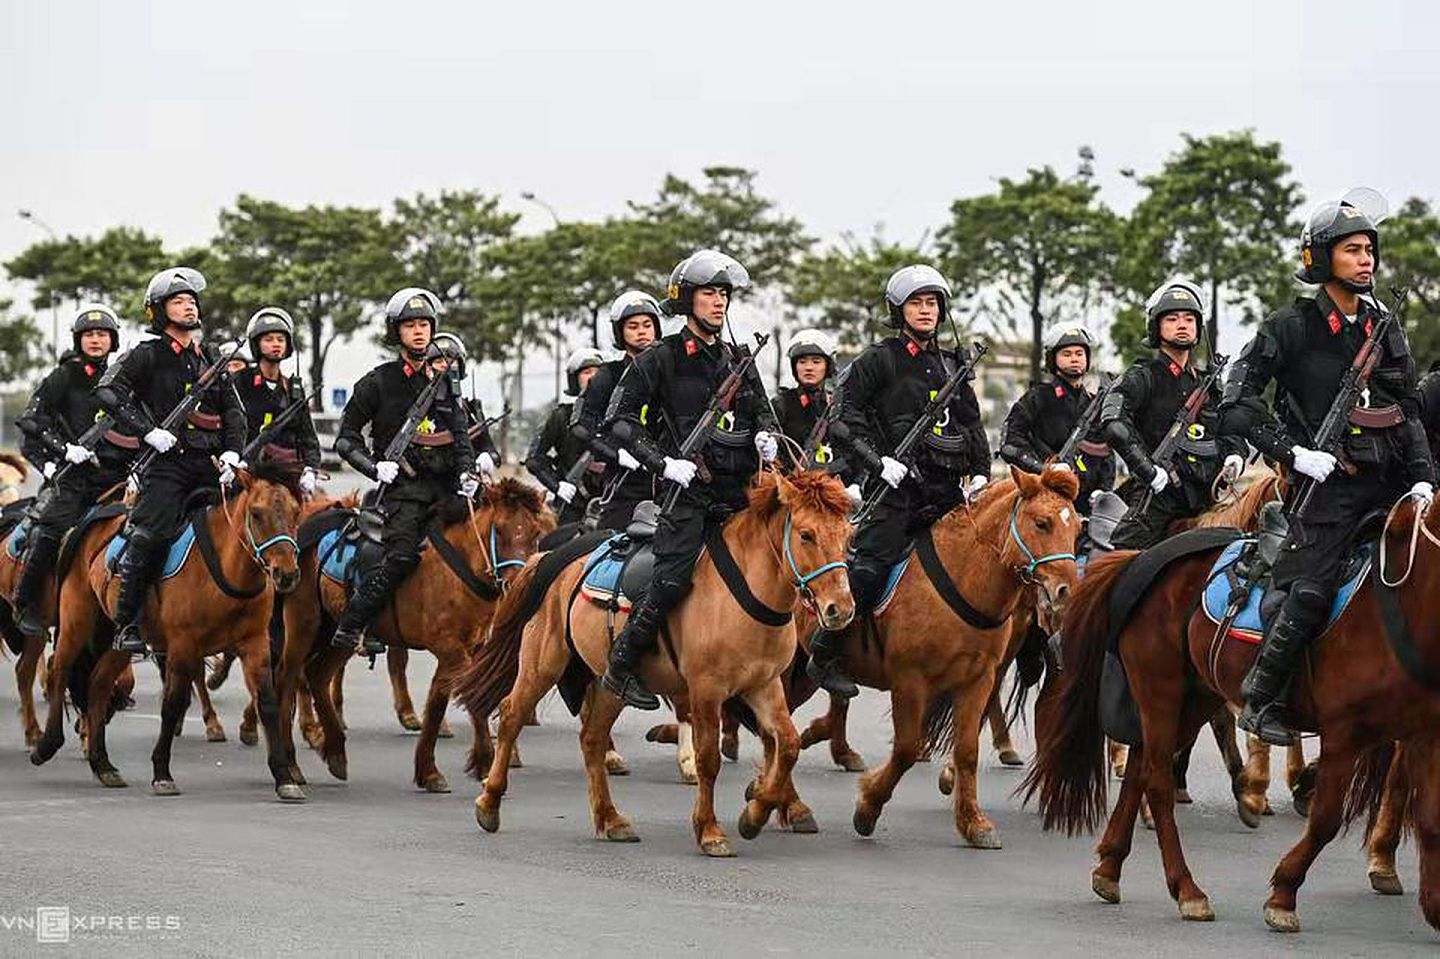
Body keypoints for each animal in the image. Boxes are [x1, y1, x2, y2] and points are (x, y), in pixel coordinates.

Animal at [30, 463, 303, 800]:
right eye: (256, 513)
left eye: (296, 512)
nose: (286, 573)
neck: (227, 571)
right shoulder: (183, 646)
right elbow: (172, 704)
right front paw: (162, 772)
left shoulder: (255, 646)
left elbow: (267, 702)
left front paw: (284, 776)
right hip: (76, 618)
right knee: (61, 669)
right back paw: (46, 745)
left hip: (118, 640)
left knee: (98, 685)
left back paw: (102, 763)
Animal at [275, 475, 550, 789]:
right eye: (500, 529)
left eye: (536, 531)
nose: (520, 585)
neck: (458, 567)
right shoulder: (450, 648)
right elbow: (470, 696)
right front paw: (485, 761)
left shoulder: (466, 649)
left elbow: (437, 704)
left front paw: (430, 770)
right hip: (303, 624)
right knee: (288, 679)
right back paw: (291, 765)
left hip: (338, 632)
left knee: (318, 675)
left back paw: (334, 751)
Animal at [452, 469, 852, 852]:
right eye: (806, 535)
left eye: (848, 536)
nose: (841, 609)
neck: (748, 593)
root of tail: (556, 556)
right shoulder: (706, 690)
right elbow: (709, 759)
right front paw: (709, 830)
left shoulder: (764, 685)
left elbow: (788, 744)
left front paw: (755, 814)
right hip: (543, 664)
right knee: (512, 715)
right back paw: (489, 802)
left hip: (608, 683)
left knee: (592, 739)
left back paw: (611, 818)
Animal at [1025, 495, 1440, 927]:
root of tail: (1143, 557)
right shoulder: (1344, 733)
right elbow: (1326, 820)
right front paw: (1283, 894)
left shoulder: (1425, 734)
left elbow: (1429, 819)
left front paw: (1432, 904)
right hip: (1161, 690)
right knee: (1156, 780)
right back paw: (1187, 889)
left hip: (1193, 697)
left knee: (1142, 768)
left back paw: (1110, 869)